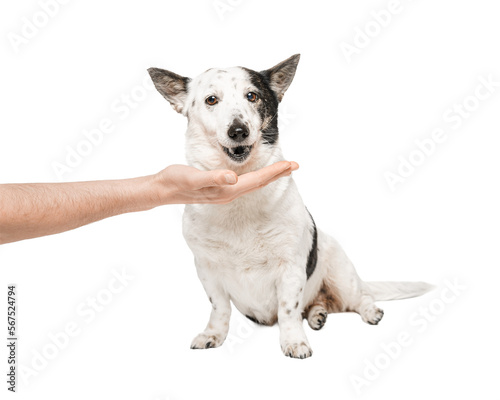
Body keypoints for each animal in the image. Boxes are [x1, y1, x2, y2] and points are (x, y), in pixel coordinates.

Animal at [146, 54, 432, 358]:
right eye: (211, 100)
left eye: (252, 96)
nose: (238, 131)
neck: (240, 199)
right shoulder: (207, 270)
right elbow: (219, 308)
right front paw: (214, 335)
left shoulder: (291, 269)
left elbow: (288, 311)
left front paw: (294, 341)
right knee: (318, 304)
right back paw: (318, 315)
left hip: (343, 277)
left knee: (359, 298)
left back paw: (369, 311)